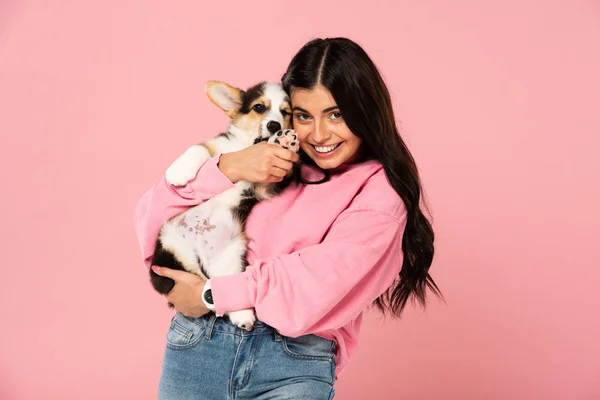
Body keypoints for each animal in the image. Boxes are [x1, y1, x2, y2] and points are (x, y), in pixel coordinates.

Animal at [151, 79, 298, 330]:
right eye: (259, 107)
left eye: (285, 112)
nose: (274, 125)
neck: (248, 146)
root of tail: (200, 254)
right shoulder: (215, 147)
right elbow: (198, 148)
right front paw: (178, 173)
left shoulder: (263, 187)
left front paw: (285, 140)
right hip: (172, 249)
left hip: (230, 257)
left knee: (221, 289)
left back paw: (243, 315)